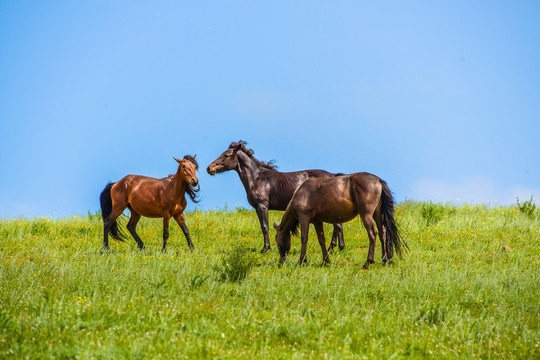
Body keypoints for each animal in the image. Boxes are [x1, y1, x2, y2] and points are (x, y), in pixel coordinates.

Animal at [205, 141, 344, 253]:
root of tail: (333, 175)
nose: (209, 168)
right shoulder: (257, 208)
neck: (257, 178)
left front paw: (265, 249)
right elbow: (263, 226)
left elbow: (265, 226)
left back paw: (333, 248)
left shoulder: (262, 206)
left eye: (227, 155)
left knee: (337, 225)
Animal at [272, 173, 408, 268]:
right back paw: (385, 260)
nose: (280, 261)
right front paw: (325, 261)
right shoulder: (317, 221)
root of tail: (378, 180)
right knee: (382, 232)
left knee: (372, 234)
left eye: (277, 239)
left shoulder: (304, 218)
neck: (302, 193)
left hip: (366, 215)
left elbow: (304, 239)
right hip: (377, 214)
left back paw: (368, 262)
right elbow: (321, 240)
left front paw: (302, 261)